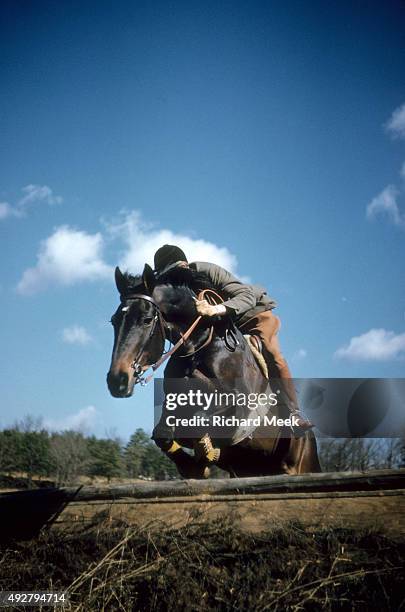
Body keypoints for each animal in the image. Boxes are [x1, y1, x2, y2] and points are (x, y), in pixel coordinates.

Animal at [105, 264, 320, 478]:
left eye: (147, 319)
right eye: (113, 321)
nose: (117, 381)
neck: (199, 347)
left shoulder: (240, 410)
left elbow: (201, 420)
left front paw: (206, 453)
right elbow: (163, 433)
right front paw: (194, 466)